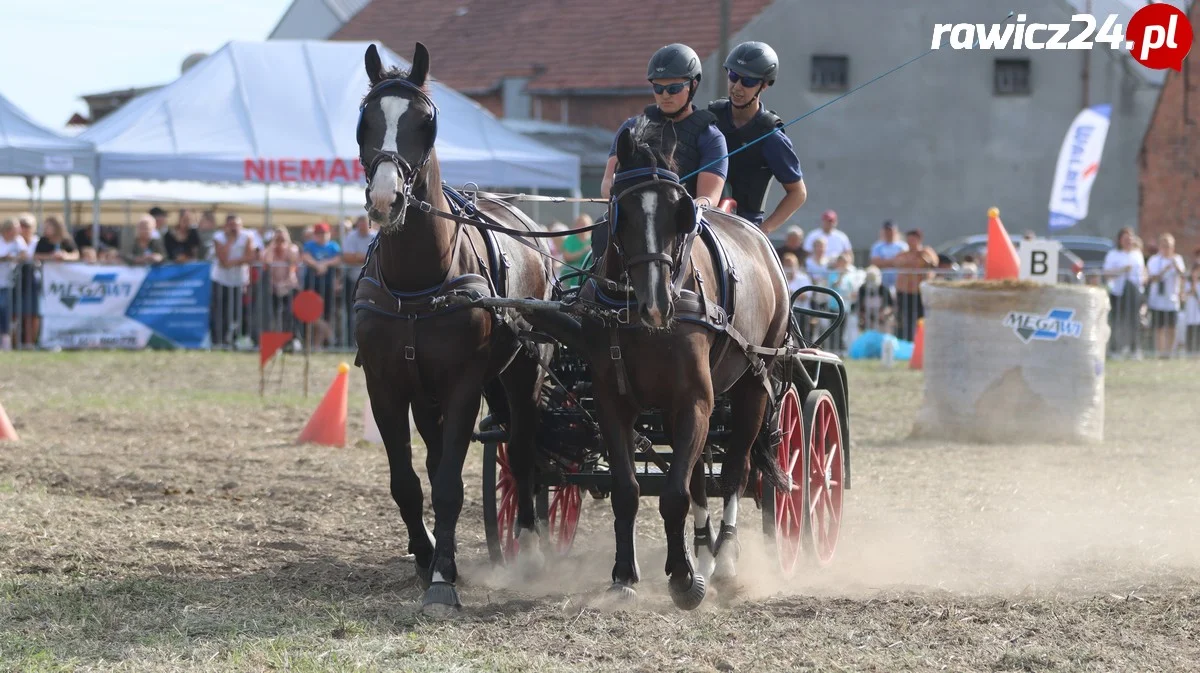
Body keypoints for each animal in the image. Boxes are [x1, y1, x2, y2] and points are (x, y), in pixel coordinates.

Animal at [350, 43, 549, 614]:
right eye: (365, 121)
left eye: (427, 122)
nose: (386, 200)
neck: (418, 281)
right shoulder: (385, 386)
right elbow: (407, 482)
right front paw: (428, 557)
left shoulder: (463, 385)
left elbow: (448, 486)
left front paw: (441, 580)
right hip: (429, 393)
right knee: (441, 453)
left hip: (520, 374)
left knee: (522, 450)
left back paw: (529, 544)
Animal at [578, 118, 792, 607]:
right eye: (622, 211)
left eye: (680, 211)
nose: (657, 304)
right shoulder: (612, 402)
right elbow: (628, 490)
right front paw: (625, 575)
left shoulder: (693, 398)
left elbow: (674, 493)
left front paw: (681, 577)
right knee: (698, 475)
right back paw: (705, 551)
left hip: (753, 384)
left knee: (735, 471)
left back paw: (725, 560)